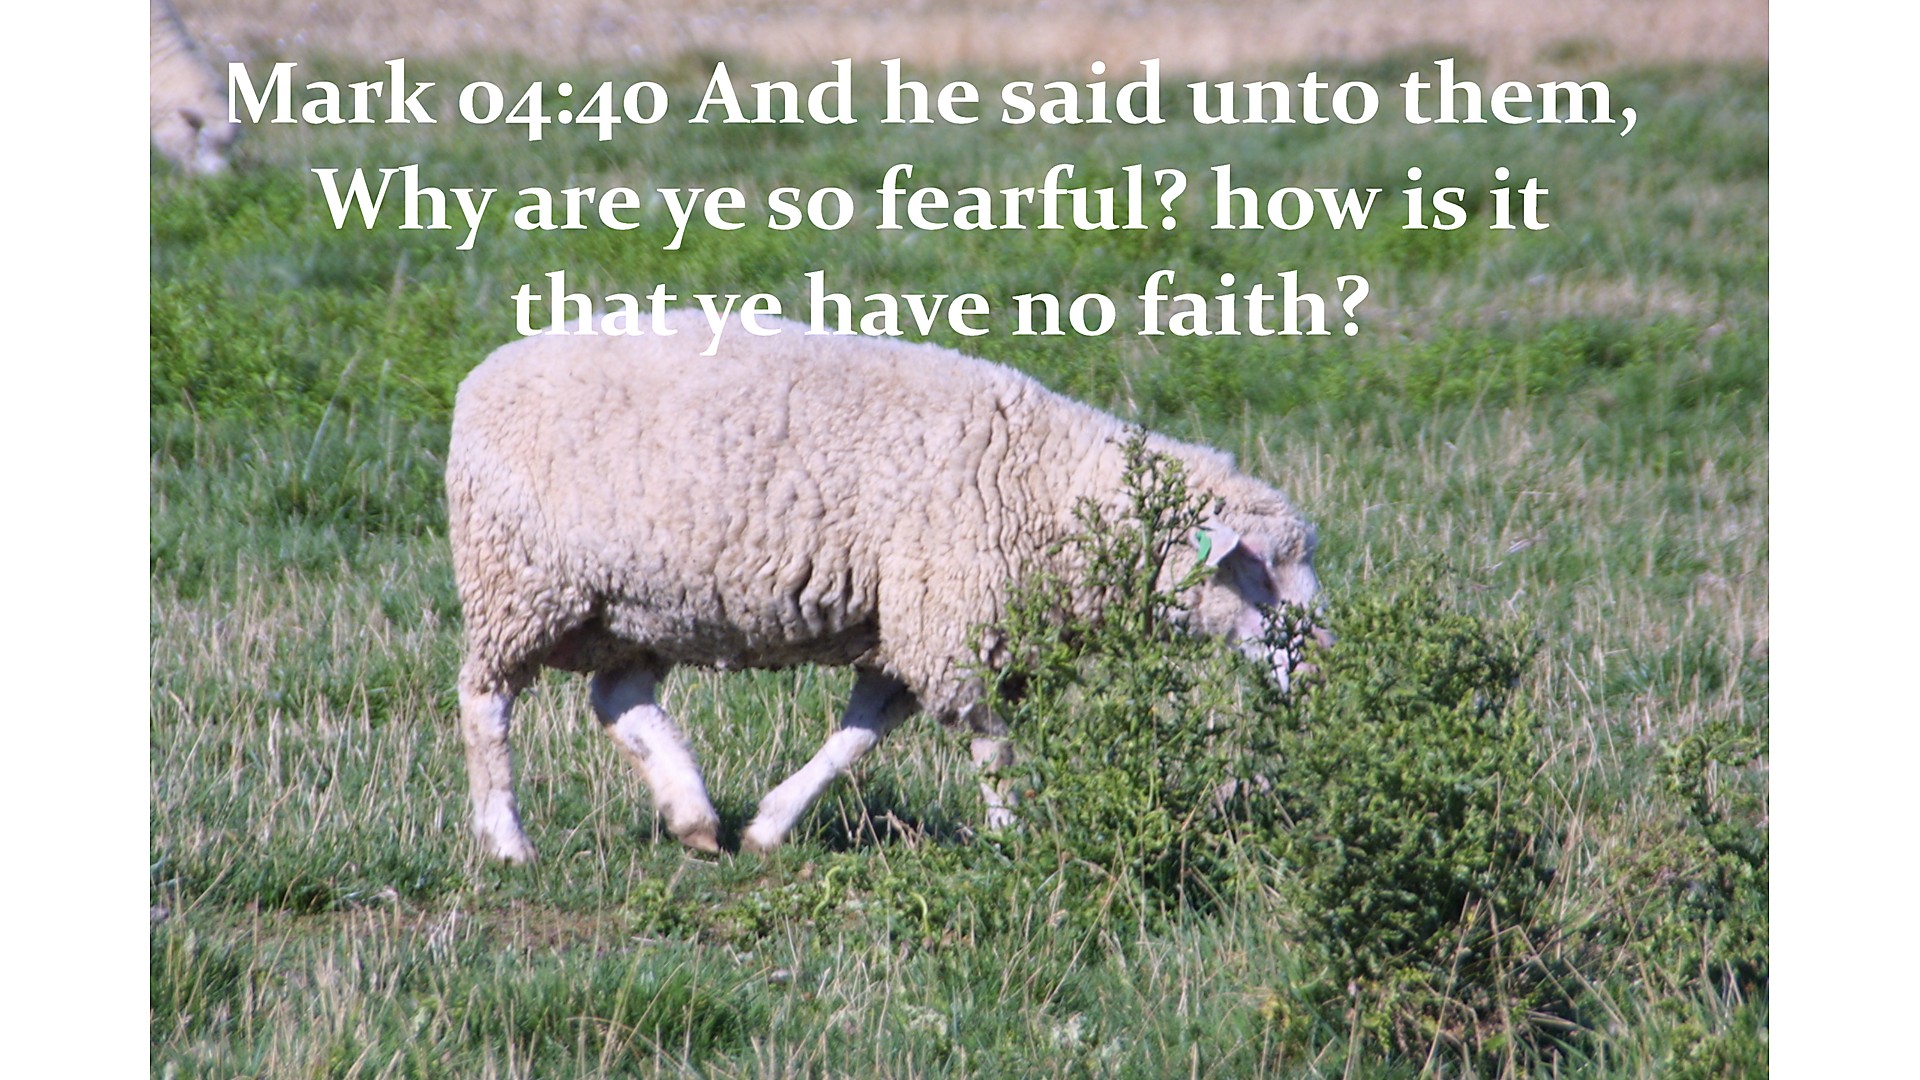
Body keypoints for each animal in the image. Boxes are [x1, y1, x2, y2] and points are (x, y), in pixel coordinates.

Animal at [446, 310, 1321, 862]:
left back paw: (692, 815)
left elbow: (857, 736)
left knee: (618, 699)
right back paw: (507, 840)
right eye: (1260, 575)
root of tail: (480, 374)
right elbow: (992, 746)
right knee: (486, 702)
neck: (1053, 486)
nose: (1317, 674)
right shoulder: (954, 621)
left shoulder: (911, 628)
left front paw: (770, 827)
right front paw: (1014, 840)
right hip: (518, 581)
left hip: (633, 604)